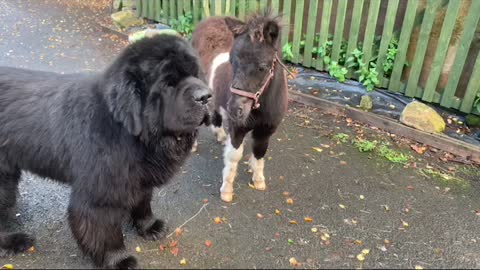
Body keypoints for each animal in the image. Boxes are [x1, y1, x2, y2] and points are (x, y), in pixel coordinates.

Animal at [0, 34, 212, 268]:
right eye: (168, 82)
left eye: (196, 74)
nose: (206, 96)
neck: (128, 130)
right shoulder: (100, 195)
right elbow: (106, 231)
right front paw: (118, 259)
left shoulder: (139, 178)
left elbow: (143, 202)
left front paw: (149, 226)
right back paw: (14, 241)